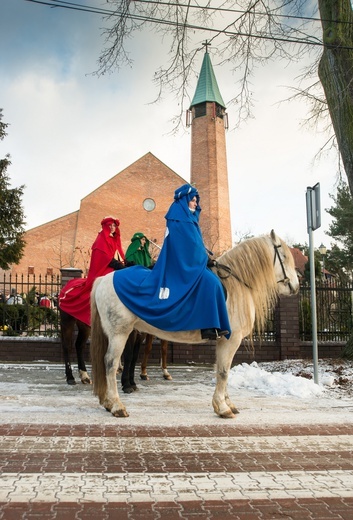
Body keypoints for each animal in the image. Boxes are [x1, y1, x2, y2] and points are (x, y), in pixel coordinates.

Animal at [90, 232, 296, 418]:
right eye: (284, 256)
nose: (295, 285)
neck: (235, 284)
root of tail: (103, 280)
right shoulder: (231, 339)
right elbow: (223, 372)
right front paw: (222, 407)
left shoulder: (223, 340)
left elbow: (223, 369)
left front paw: (227, 403)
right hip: (119, 333)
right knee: (110, 363)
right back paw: (117, 406)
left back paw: (108, 402)